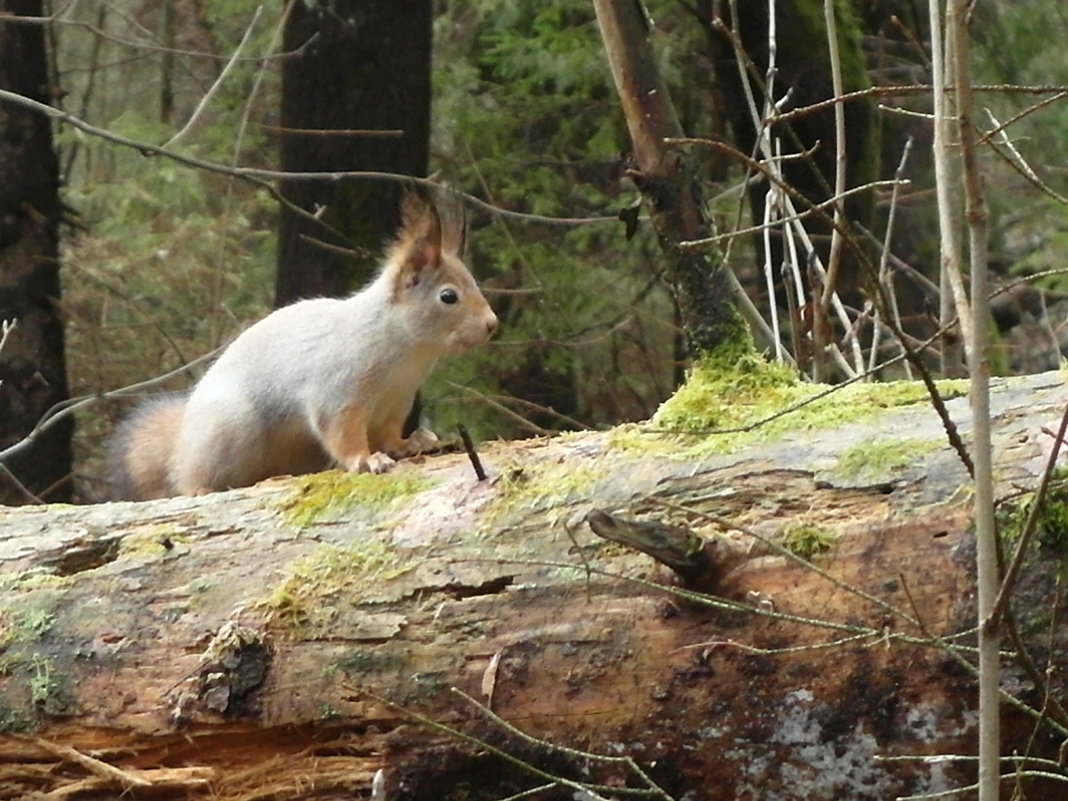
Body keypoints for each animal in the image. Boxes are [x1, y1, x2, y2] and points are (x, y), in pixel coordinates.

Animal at [106, 190, 497, 501]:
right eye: (448, 296)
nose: (492, 324)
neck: (408, 354)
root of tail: (182, 441)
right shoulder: (339, 390)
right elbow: (342, 432)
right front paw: (366, 459)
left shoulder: (395, 404)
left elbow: (389, 433)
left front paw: (410, 443)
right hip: (228, 430)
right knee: (188, 479)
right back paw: (200, 487)